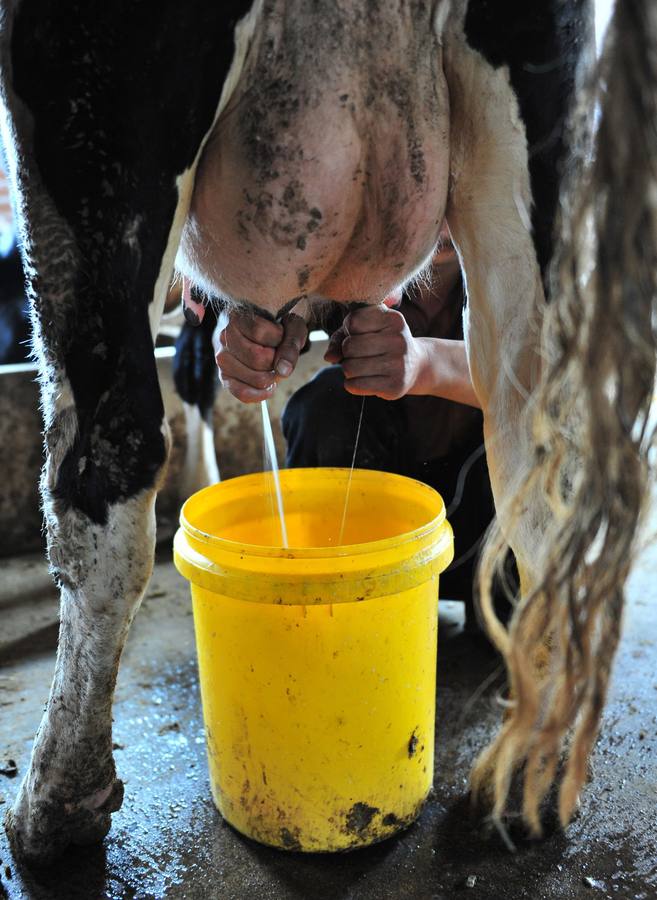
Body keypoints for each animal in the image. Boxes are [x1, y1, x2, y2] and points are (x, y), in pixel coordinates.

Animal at [0, 0, 652, 864]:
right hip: (536, 130)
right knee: (540, 467)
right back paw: (525, 786)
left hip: (96, 118)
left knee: (109, 458)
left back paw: (55, 800)